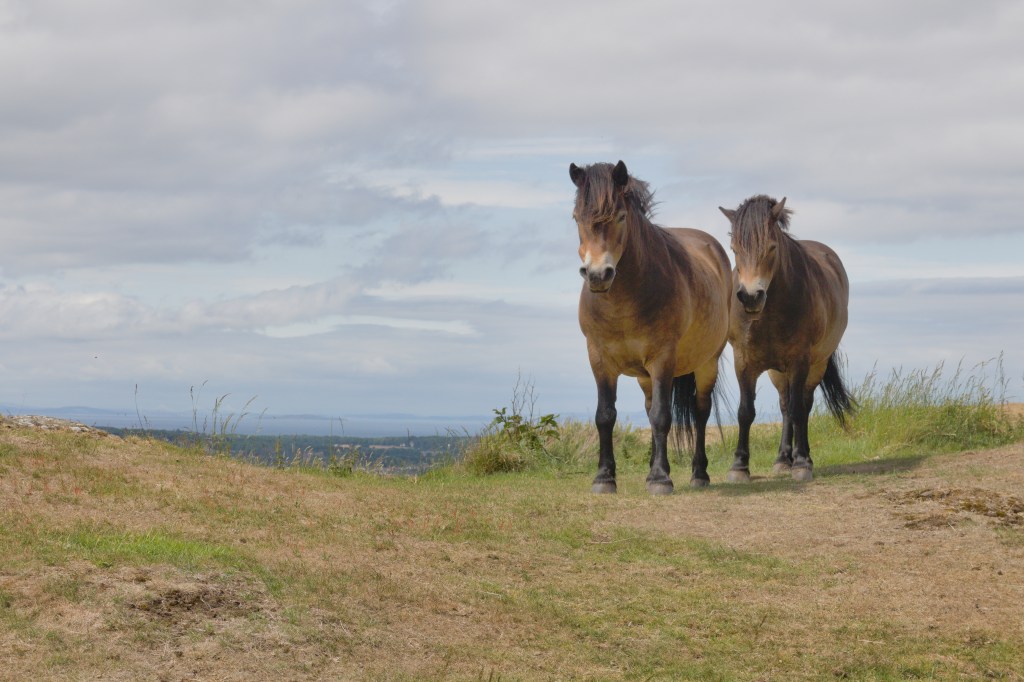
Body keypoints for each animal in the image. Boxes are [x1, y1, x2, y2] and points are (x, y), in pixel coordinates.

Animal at [570, 161, 732, 494]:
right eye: (577, 218)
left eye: (620, 216)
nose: (597, 275)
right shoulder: (599, 359)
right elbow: (605, 416)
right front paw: (604, 477)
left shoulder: (662, 358)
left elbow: (661, 416)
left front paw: (660, 479)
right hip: (644, 376)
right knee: (648, 407)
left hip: (706, 363)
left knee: (700, 412)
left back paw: (699, 474)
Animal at [719, 195, 854, 482]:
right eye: (734, 248)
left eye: (771, 247)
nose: (750, 297)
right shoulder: (743, 362)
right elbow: (745, 412)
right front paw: (739, 466)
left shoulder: (799, 362)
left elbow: (798, 410)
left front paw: (802, 463)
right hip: (777, 372)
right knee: (784, 406)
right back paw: (783, 459)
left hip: (816, 365)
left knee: (803, 404)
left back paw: (803, 458)